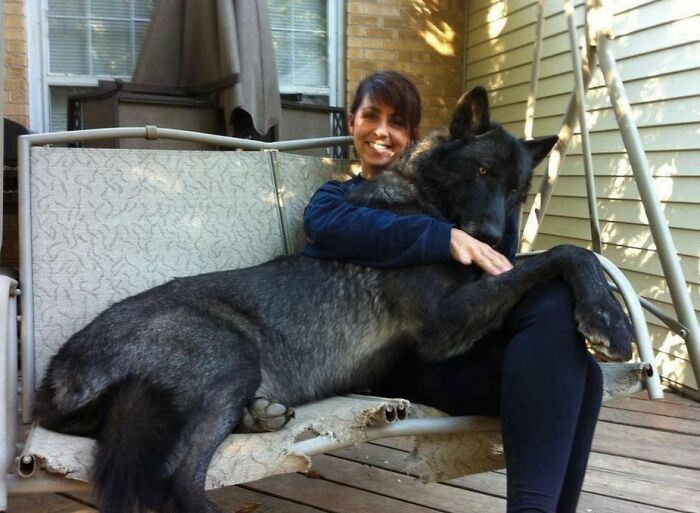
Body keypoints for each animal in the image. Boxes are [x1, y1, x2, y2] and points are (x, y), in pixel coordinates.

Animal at [35, 87, 633, 513]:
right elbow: (567, 251)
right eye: (482, 171)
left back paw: (260, 415)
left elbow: (555, 257)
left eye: (516, 191)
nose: (490, 239)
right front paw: (609, 318)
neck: (423, 201)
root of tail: (56, 377)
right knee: (176, 484)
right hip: (229, 359)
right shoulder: (444, 323)